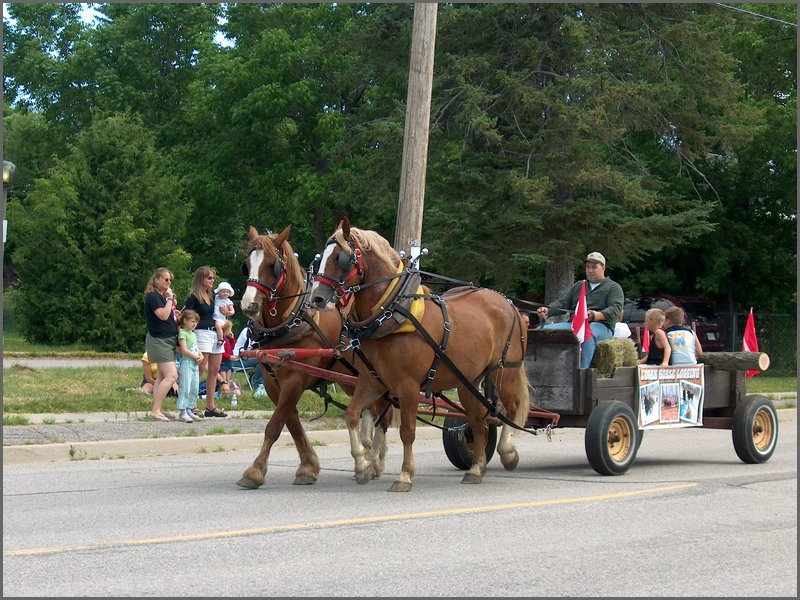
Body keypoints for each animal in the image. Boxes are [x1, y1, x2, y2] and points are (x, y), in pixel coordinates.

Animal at [236, 224, 392, 488]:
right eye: (246, 265)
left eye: (272, 265)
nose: (249, 306)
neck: (294, 318)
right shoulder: (272, 383)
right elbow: (291, 422)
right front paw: (308, 467)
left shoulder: (295, 379)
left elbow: (274, 425)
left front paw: (255, 471)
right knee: (370, 410)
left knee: (386, 413)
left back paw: (376, 462)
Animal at [312, 218, 532, 490]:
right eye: (320, 258)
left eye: (340, 258)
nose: (316, 298)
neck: (391, 310)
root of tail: (510, 304)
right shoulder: (372, 380)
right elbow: (352, 415)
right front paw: (363, 466)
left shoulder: (408, 385)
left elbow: (407, 430)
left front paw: (404, 475)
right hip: (468, 381)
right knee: (478, 421)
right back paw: (476, 469)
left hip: (505, 371)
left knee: (510, 410)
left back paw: (508, 453)